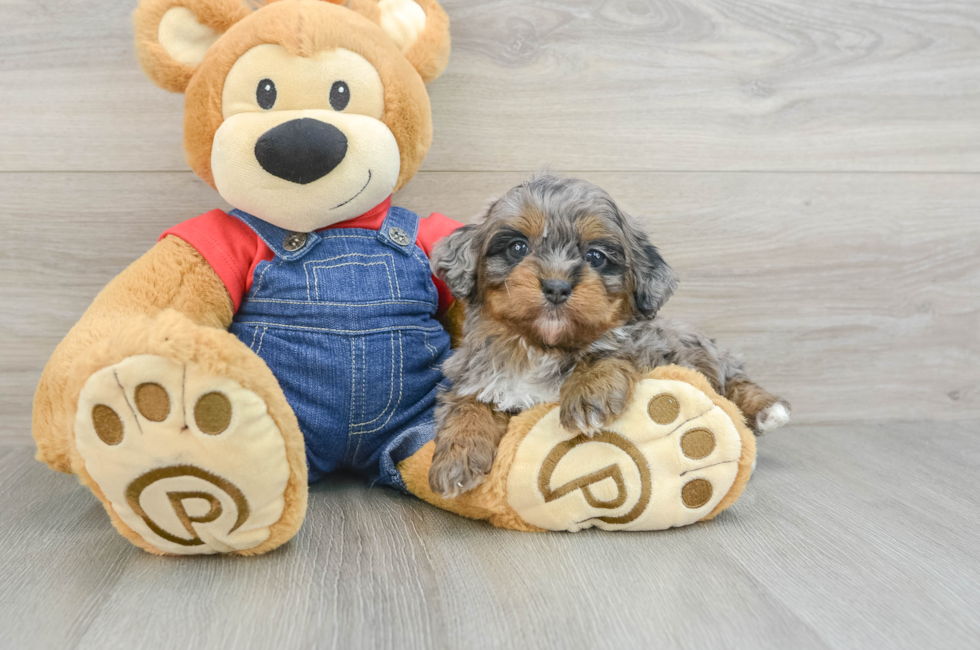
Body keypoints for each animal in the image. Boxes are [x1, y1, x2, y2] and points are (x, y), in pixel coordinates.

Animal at [426, 175, 788, 494]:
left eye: (595, 257)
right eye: (518, 247)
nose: (556, 286)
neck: (542, 347)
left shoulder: (645, 347)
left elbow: (606, 352)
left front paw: (589, 394)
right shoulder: (476, 375)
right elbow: (467, 405)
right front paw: (456, 459)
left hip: (708, 355)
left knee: (736, 384)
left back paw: (768, 412)